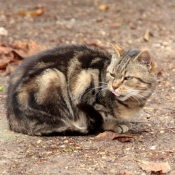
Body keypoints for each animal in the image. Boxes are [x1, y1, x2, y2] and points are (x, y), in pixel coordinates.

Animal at [6, 43, 157, 135]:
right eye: (112, 74)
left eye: (127, 78)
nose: (114, 86)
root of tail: (13, 120)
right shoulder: (84, 85)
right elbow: (101, 117)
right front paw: (114, 125)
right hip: (52, 77)